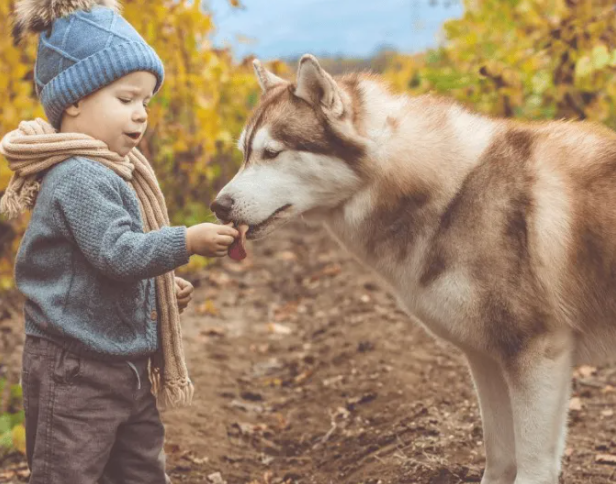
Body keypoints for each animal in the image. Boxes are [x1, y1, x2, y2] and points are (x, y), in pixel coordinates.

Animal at [209, 54, 616, 484]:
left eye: (272, 153)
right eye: (244, 153)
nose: (217, 205)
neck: (454, 191)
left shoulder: (537, 353)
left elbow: (533, 464)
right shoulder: (485, 358)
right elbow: (499, 454)